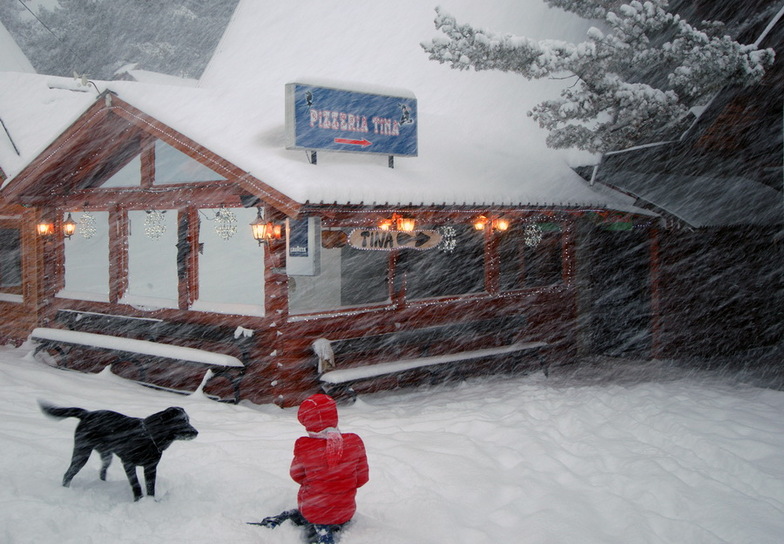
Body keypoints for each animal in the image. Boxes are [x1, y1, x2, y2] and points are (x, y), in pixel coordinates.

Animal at [39, 402, 199, 500]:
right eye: (181, 421)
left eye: (188, 420)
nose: (196, 432)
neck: (148, 436)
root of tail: (87, 414)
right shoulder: (128, 463)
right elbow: (136, 485)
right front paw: (138, 500)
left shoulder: (150, 467)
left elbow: (150, 487)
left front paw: (151, 503)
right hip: (82, 453)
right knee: (68, 473)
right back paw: (65, 491)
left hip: (106, 455)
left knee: (102, 471)